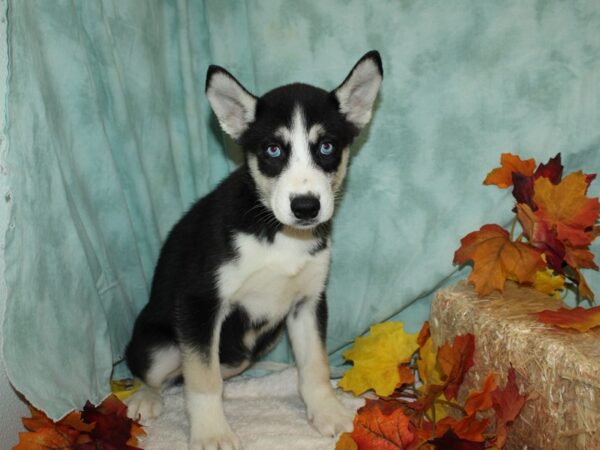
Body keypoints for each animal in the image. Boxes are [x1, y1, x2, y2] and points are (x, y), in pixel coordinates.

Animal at [125, 51, 384, 448]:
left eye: (326, 147)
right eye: (273, 150)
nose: (305, 206)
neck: (278, 234)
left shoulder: (308, 302)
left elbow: (315, 366)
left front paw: (328, 412)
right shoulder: (200, 302)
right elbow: (203, 380)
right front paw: (212, 432)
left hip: (239, 356)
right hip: (160, 346)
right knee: (156, 374)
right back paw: (146, 397)